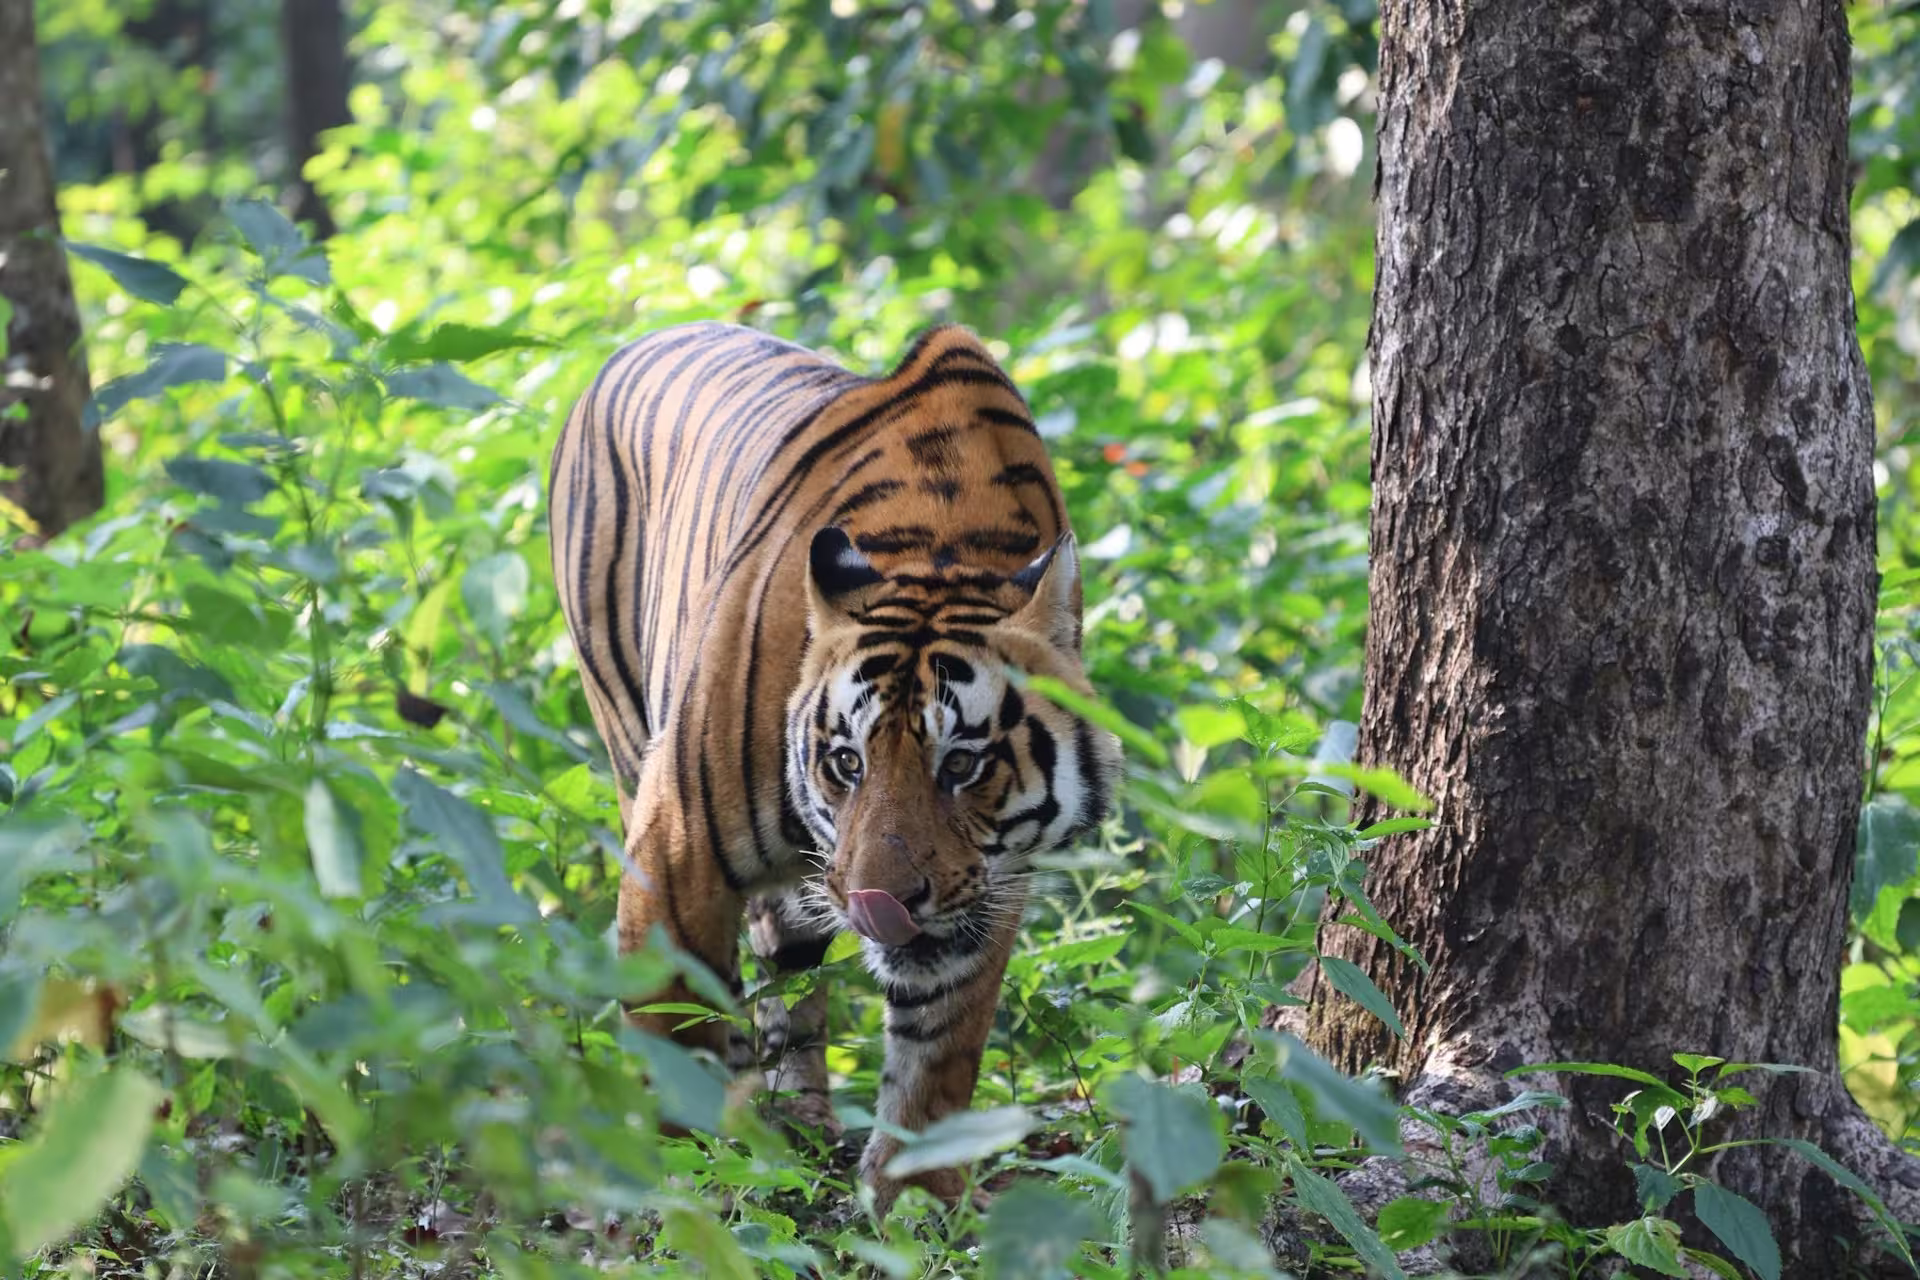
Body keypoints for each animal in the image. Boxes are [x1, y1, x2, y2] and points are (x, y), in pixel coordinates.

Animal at [548, 321, 1122, 1206]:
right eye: (847, 762)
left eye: (963, 765)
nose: (878, 902)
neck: (946, 549)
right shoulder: (673, 849)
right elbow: (674, 1037)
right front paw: (677, 1185)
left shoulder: (991, 886)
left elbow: (939, 1055)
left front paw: (917, 1201)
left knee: (787, 971)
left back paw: (801, 1122)